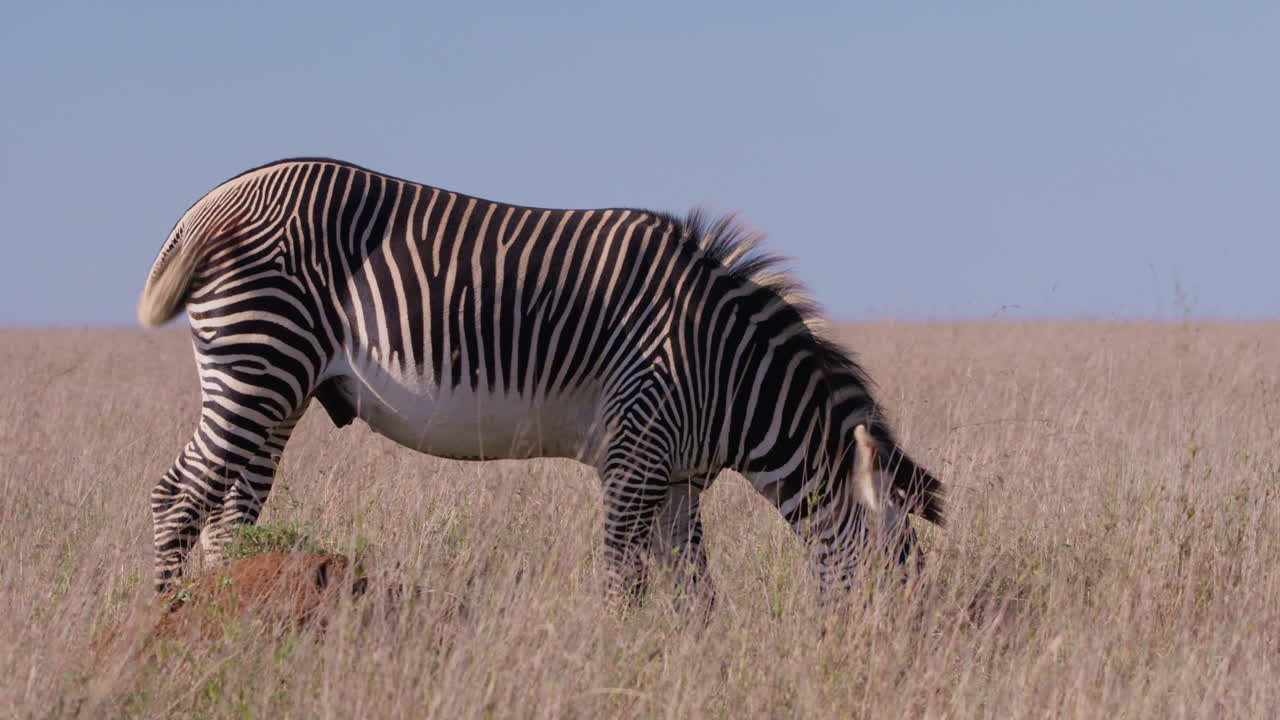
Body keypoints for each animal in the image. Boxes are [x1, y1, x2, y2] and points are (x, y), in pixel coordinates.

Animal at [138, 157, 944, 604]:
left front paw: (686, 668)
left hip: (278, 388)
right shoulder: (634, 455)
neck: (729, 368)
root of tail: (213, 200)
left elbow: (695, 593)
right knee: (177, 495)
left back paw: (221, 612)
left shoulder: (679, 477)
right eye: (901, 579)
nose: (897, 668)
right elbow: (624, 583)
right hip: (258, 361)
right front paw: (620, 666)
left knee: (230, 515)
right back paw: (162, 619)